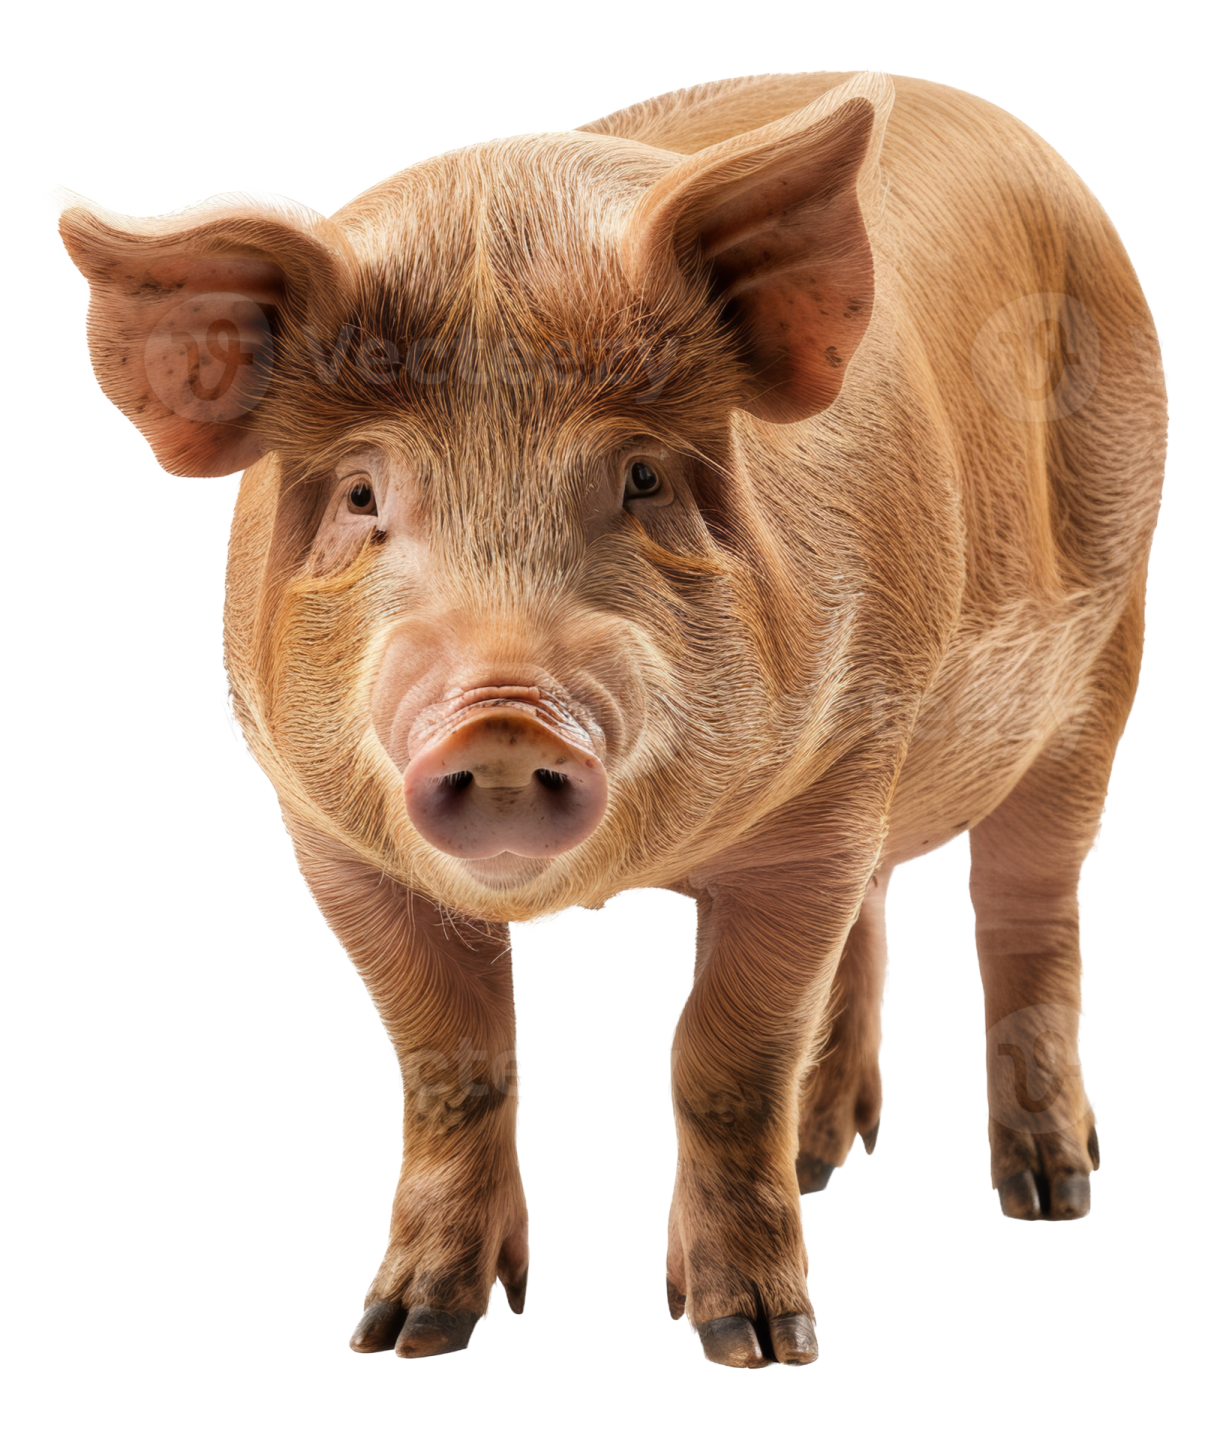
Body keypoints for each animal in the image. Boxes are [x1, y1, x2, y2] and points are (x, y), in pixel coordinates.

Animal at [47, 68, 1166, 1369]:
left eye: (639, 477)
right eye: (364, 494)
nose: (502, 718)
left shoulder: (824, 783)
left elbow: (726, 1053)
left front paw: (755, 1343)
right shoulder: (325, 835)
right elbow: (449, 1061)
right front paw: (405, 1331)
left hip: (1106, 647)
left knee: (1027, 907)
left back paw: (1047, 1192)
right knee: (872, 913)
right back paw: (821, 1155)